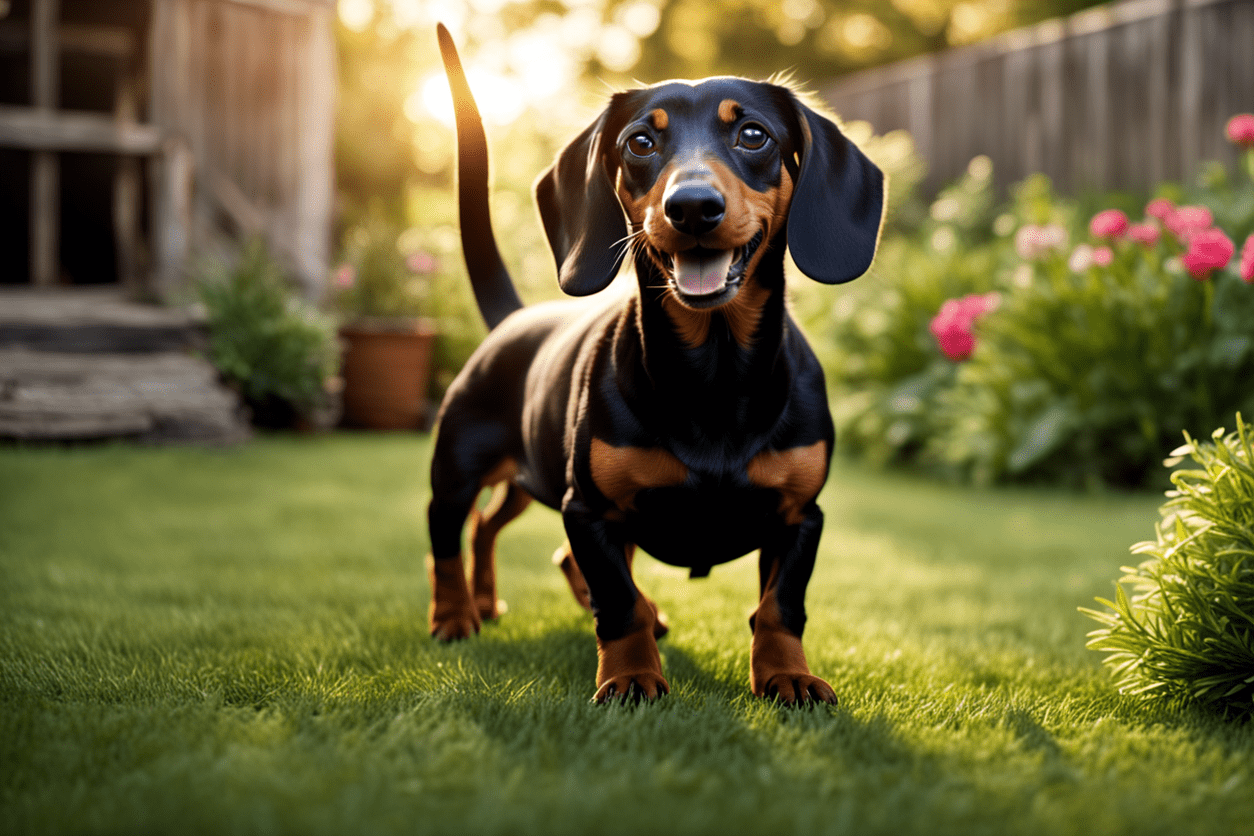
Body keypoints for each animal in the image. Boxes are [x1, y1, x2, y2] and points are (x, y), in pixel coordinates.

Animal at [426, 26, 887, 701]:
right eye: (640, 142)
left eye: (753, 135)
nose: (691, 207)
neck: (714, 371)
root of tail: (510, 319)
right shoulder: (588, 509)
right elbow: (617, 605)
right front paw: (631, 677)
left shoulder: (801, 516)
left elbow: (780, 607)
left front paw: (788, 677)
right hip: (460, 469)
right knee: (447, 535)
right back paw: (457, 615)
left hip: (529, 477)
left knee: (493, 529)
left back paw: (488, 602)